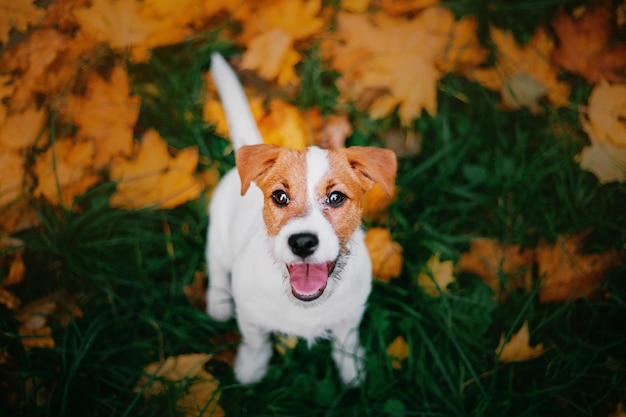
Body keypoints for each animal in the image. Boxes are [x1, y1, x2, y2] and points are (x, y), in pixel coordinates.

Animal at [207, 53, 398, 386]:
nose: (303, 242)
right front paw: (250, 370)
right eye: (280, 197)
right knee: (215, 262)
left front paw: (353, 373)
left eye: (336, 197)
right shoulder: (250, 314)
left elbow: (346, 343)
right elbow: (256, 342)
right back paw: (217, 301)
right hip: (218, 231)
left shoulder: (350, 315)